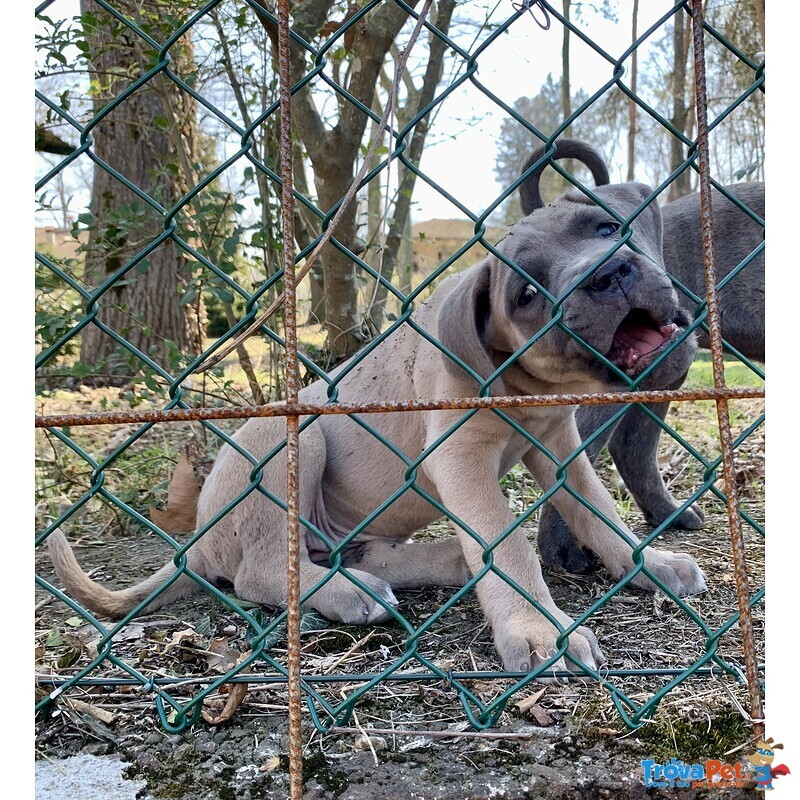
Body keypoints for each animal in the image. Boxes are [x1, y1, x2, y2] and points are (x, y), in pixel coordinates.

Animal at [48, 153, 708, 672]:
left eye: (607, 227)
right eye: (525, 294)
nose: (610, 272)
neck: (526, 389)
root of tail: (200, 543)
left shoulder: (560, 447)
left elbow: (601, 516)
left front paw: (654, 566)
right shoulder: (460, 460)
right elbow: (510, 547)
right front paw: (539, 631)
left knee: (354, 554)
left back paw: (436, 564)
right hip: (290, 443)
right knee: (262, 572)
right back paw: (351, 594)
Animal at [520, 139, 764, 576]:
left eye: (609, 229)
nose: (609, 273)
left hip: (666, 371)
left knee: (631, 448)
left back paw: (668, 514)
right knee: (574, 458)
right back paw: (564, 551)